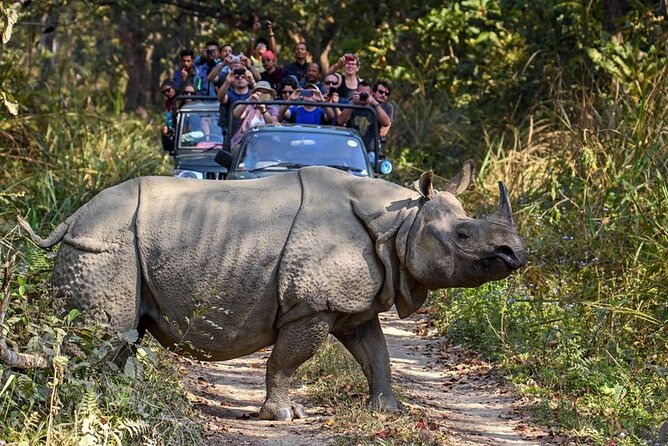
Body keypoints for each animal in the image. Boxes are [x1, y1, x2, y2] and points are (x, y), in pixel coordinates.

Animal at [18, 162, 525, 421]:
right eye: (462, 235)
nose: (516, 253)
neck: (398, 222)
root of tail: (71, 220)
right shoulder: (314, 304)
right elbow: (288, 359)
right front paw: (281, 416)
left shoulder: (351, 304)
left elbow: (375, 352)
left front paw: (388, 411)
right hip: (105, 244)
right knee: (104, 334)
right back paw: (94, 404)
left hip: (108, 242)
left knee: (118, 338)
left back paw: (119, 400)